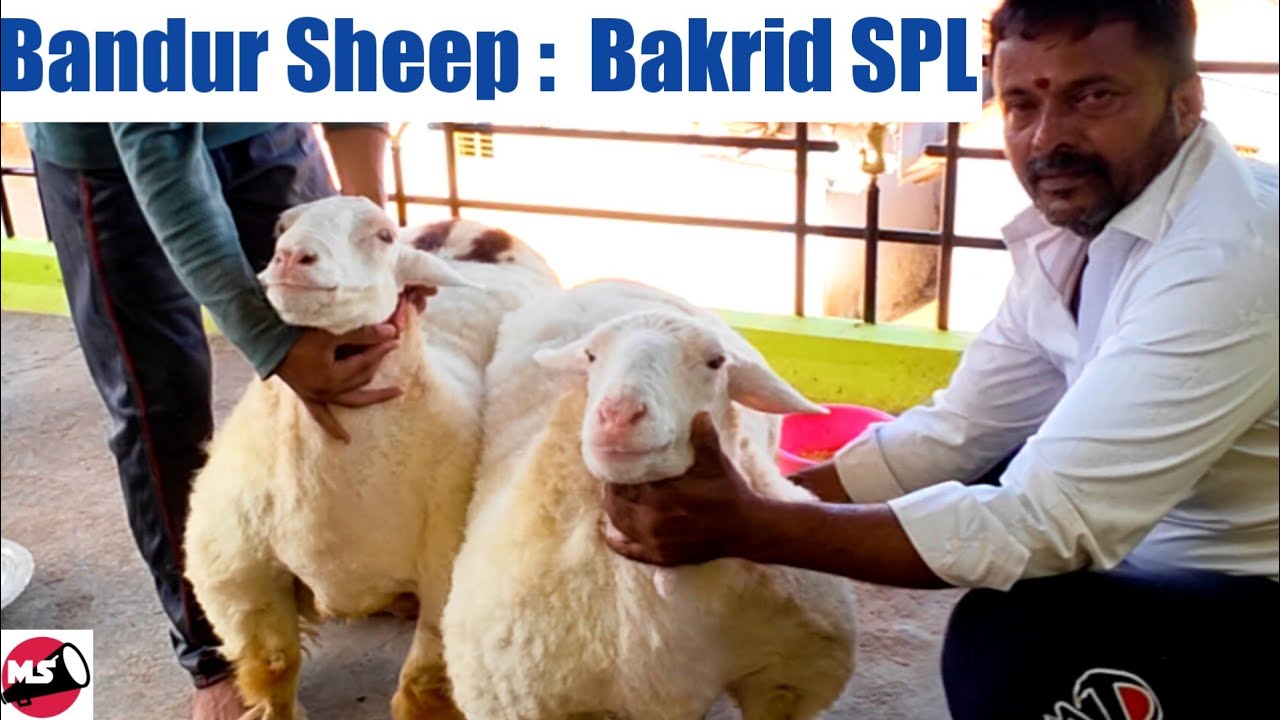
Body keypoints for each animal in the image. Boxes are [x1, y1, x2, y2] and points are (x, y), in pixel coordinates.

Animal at [183, 196, 560, 720]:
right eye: (281, 226)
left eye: (381, 236)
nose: (291, 258)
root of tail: (464, 224)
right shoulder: (238, 576)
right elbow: (274, 663)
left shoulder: (443, 573)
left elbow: (422, 683)